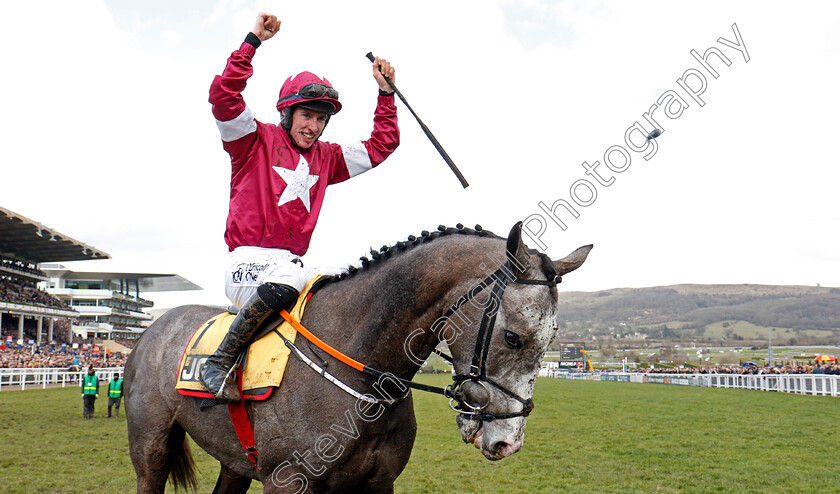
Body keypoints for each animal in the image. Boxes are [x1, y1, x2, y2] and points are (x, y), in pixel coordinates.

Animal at [128, 222, 592, 492]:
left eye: (552, 338)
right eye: (513, 338)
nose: (506, 442)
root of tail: (151, 329)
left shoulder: (378, 482)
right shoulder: (286, 482)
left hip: (234, 463)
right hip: (150, 448)